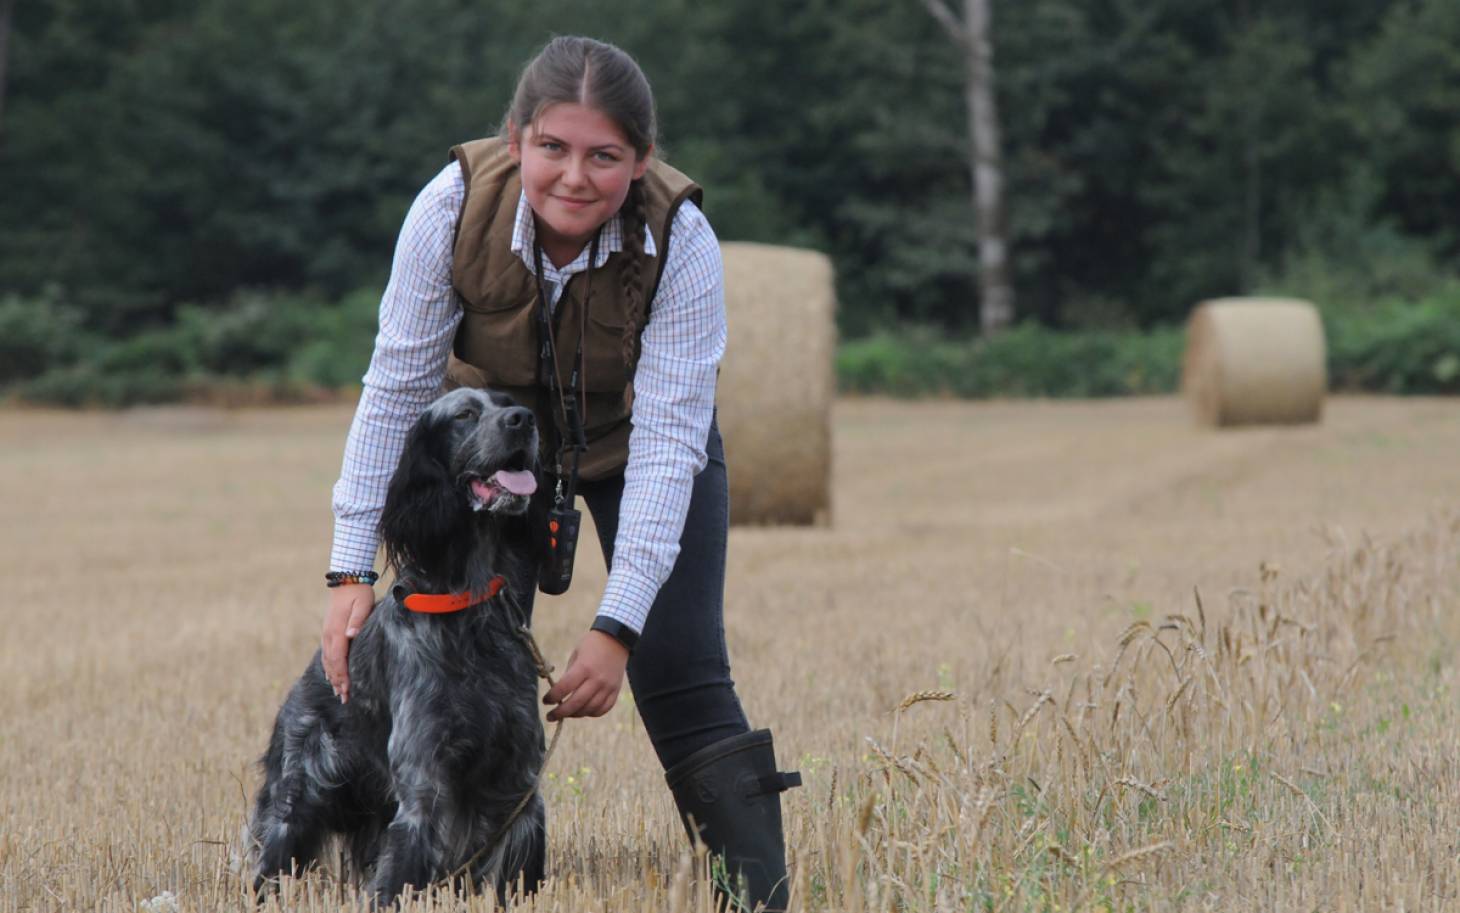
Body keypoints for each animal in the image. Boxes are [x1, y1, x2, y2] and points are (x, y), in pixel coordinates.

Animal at [248, 385, 548, 905]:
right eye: (465, 414)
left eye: (508, 399)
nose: (524, 419)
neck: (469, 611)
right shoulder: (424, 788)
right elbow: (400, 876)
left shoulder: (519, 785)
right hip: (297, 803)